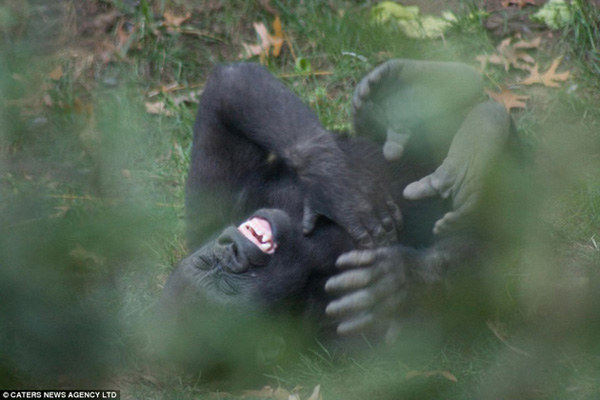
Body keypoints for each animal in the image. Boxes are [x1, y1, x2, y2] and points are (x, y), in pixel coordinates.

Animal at [161, 59, 520, 344]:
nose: (230, 251)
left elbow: (230, 89)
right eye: (225, 284)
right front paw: (400, 279)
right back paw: (480, 147)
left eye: (208, 263)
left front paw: (334, 180)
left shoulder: (213, 207)